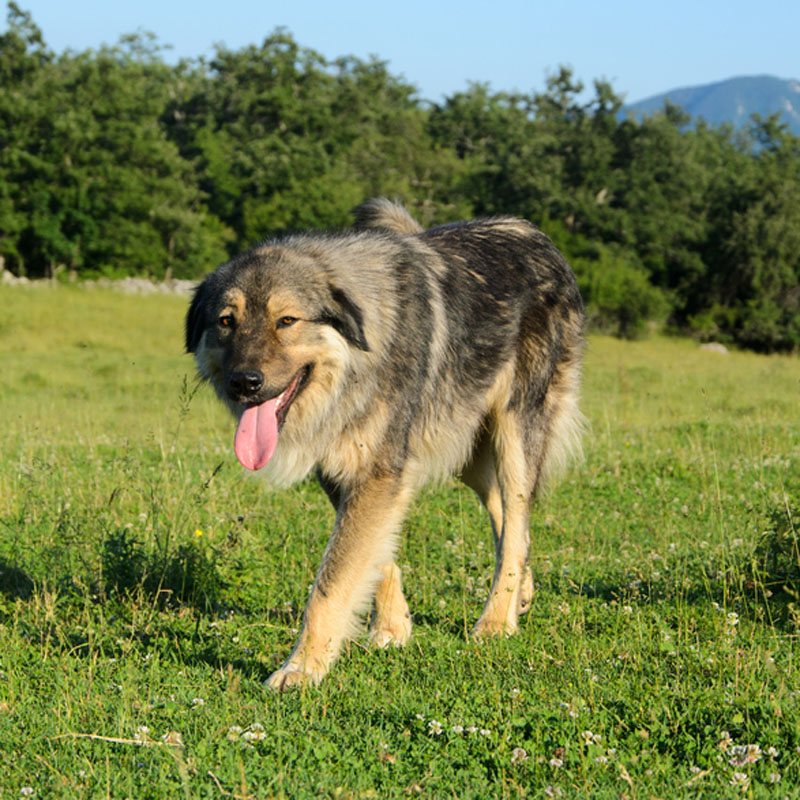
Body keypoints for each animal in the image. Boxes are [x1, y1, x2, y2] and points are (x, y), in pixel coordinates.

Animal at [184, 198, 584, 688]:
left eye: (287, 321)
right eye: (227, 322)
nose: (245, 382)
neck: (358, 357)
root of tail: (535, 234)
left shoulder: (377, 471)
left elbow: (332, 580)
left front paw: (302, 667)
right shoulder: (351, 472)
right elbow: (375, 555)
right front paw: (392, 628)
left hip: (515, 429)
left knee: (516, 518)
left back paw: (495, 620)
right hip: (465, 443)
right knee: (506, 514)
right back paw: (520, 593)